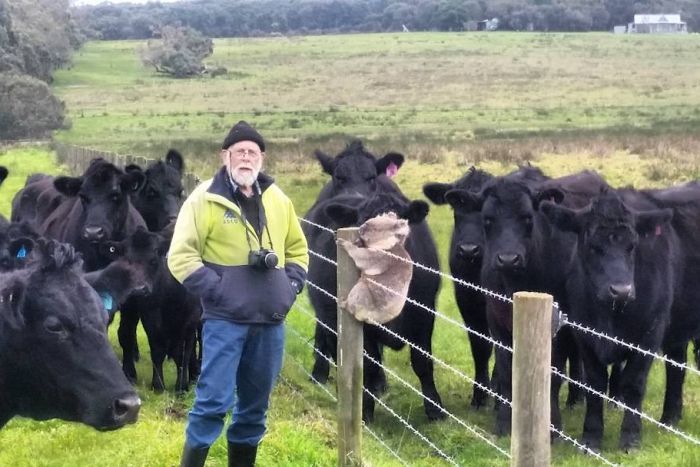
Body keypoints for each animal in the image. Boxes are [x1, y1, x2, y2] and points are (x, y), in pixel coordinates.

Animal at [308, 192, 440, 422]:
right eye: (362, 223)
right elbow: (368, 365)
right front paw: (365, 411)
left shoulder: (424, 316)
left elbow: (422, 363)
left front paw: (435, 409)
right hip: (325, 311)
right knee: (328, 342)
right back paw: (322, 376)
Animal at [544, 192, 676, 452]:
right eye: (593, 247)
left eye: (632, 246)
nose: (621, 290)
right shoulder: (584, 334)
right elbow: (595, 384)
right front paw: (591, 436)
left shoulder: (651, 333)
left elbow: (634, 383)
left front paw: (631, 437)